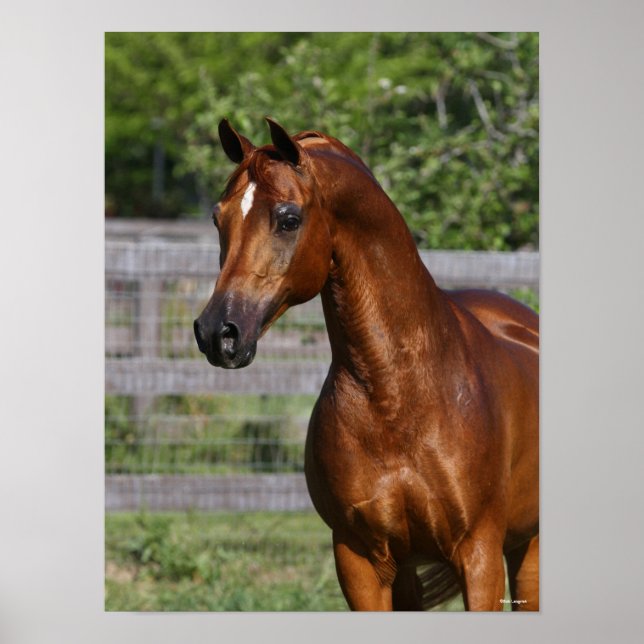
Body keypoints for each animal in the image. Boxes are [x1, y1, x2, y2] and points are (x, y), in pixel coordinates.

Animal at [194, 118, 539, 611]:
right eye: (218, 219)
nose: (217, 332)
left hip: (526, 547)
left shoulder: (480, 557)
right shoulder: (359, 559)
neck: (395, 394)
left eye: (288, 218)